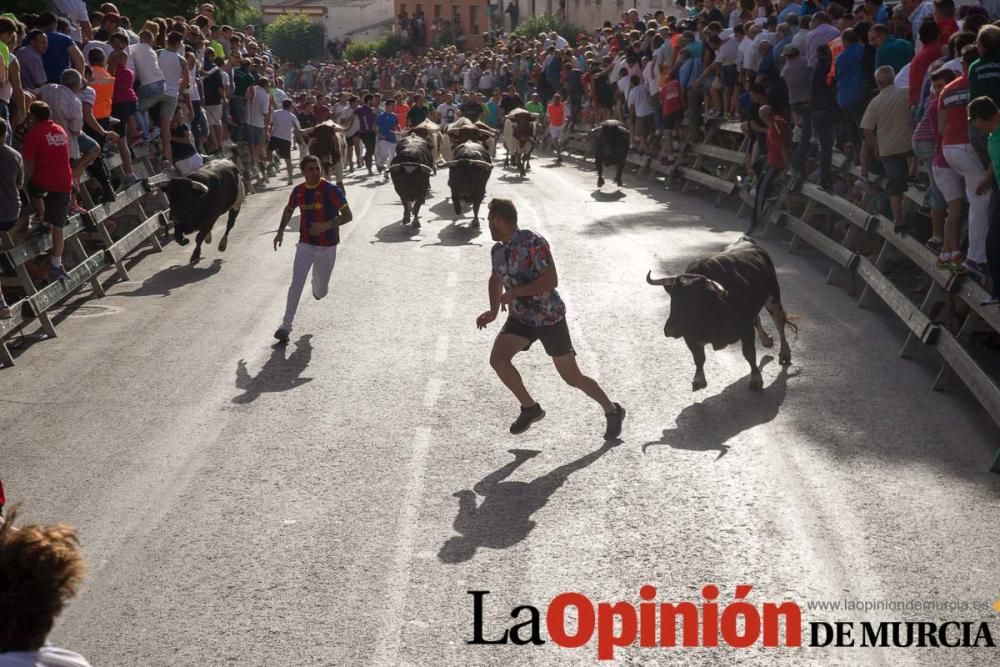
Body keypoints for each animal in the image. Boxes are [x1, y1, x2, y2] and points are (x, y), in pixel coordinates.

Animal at [648, 239, 796, 392]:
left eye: (696, 299)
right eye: (672, 297)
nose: (670, 329)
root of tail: (747, 241)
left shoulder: (746, 329)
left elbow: (749, 354)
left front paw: (756, 379)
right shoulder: (689, 336)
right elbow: (698, 358)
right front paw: (699, 379)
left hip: (773, 296)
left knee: (779, 324)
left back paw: (784, 353)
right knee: (758, 318)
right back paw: (767, 340)